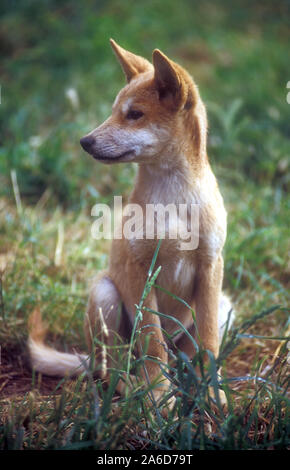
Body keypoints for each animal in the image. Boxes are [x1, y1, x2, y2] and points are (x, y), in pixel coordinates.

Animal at [28, 39, 233, 408]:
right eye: (113, 111)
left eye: (134, 114)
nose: (85, 141)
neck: (174, 199)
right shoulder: (141, 269)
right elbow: (152, 342)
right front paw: (159, 398)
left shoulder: (211, 267)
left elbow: (209, 346)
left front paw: (214, 397)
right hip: (105, 296)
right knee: (113, 367)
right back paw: (134, 387)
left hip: (223, 305)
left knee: (183, 357)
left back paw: (188, 384)